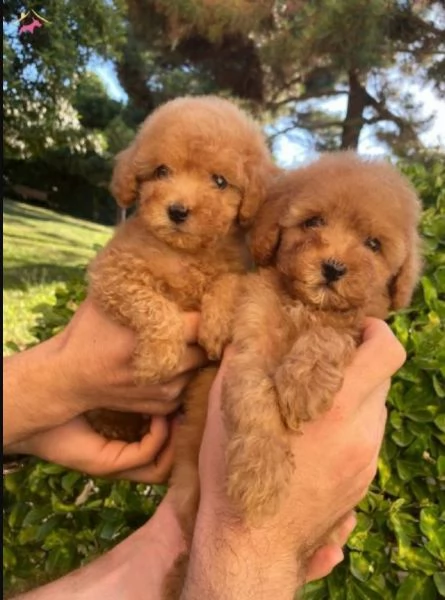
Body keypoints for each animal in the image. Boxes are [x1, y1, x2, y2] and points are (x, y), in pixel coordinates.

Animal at [85, 95, 276, 440]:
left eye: (219, 181)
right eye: (161, 171)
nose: (177, 211)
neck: (185, 253)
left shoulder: (240, 267)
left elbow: (228, 282)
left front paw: (216, 326)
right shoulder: (113, 273)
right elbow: (152, 306)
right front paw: (158, 360)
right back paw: (114, 424)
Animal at [224, 151, 422, 524]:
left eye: (373, 244)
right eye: (313, 222)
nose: (333, 268)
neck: (306, 305)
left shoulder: (356, 327)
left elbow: (331, 333)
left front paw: (305, 384)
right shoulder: (250, 344)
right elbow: (255, 397)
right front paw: (260, 477)